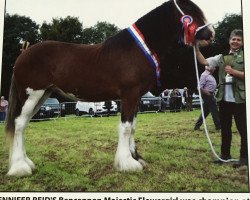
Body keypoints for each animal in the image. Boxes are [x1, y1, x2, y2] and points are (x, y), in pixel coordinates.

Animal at [4, 0, 214, 176]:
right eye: (189, 10)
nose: (211, 33)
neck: (137, 50)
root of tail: (23, 54)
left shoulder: (137, 96)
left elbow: (133, 126)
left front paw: (136, 158)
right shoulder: (129, 94)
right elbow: (126, 127)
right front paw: (128, 163)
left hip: (41, 96)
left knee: (23, 124)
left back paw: (27, 163)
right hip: (31, 95)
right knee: (19, 124)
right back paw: (20, 168)